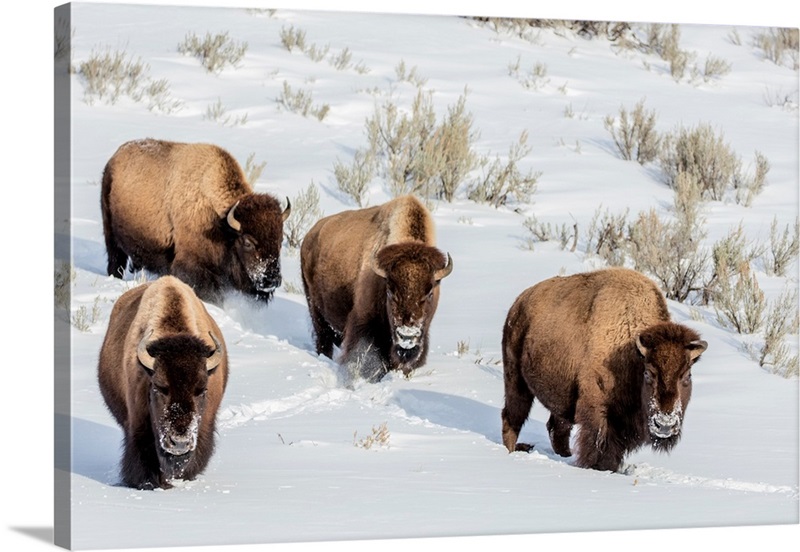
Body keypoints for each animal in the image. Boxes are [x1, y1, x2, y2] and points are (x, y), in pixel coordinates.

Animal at [101, 136, 290, 304]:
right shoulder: (193, 265)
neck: (222, 221)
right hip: (111, 234)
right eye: (248, 242)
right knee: (115, 258)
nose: (271, 280)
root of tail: (115, 158)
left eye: (280, 240)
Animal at [300, 195, 454, 384]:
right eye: (390, 292)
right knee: (323, 338)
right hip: (315, 309)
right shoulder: (364, 323)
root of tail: (310, 234)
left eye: (430, 293)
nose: (407, 336)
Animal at [500, 268, 708, 470]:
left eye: (687, 376)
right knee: (512, 418)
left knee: (556, 429)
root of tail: (518, 304)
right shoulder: (597, 408)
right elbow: (598, 445)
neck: (630, 349)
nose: (665, 425)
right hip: (516, 381)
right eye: (648, 373)